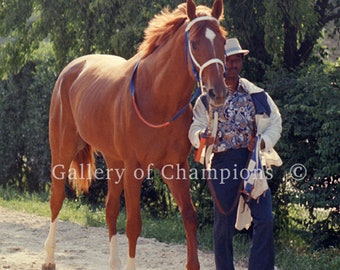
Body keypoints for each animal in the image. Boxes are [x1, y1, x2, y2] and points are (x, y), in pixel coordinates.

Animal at [43, 1, 228, 268]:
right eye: (194, 43)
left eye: (223, 41)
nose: (218, 93)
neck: (157, 100)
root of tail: (71, 68)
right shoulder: (134, 169)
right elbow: (133, 224)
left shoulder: (175, 167)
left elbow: (189, 216)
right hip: (62, 151)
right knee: (56, 199)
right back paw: (48, 258)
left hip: (113, 161)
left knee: (109, 209)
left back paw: (113, 263)